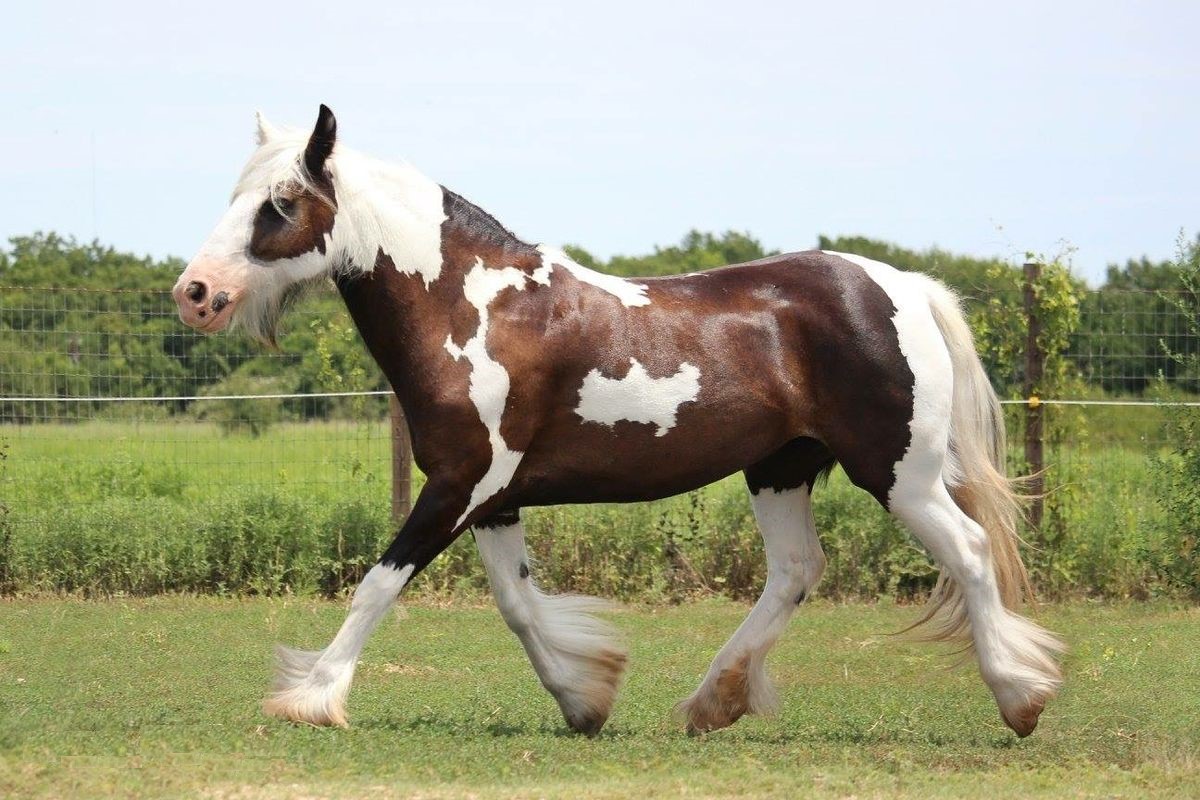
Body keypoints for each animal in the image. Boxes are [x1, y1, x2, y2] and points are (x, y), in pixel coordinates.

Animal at [173, 105, 1063, 738]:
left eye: (282, 202)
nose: (195, 293)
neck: (472, 309)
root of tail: (904, 285)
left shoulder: (460, 486)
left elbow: (379, 584)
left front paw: (314, 696)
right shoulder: (492, 499)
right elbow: (518, 605)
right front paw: (584, 699)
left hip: (899, 473)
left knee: (970, 551)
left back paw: (1019, 698)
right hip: (780, 469)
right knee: (795, 571)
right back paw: (711, 703)